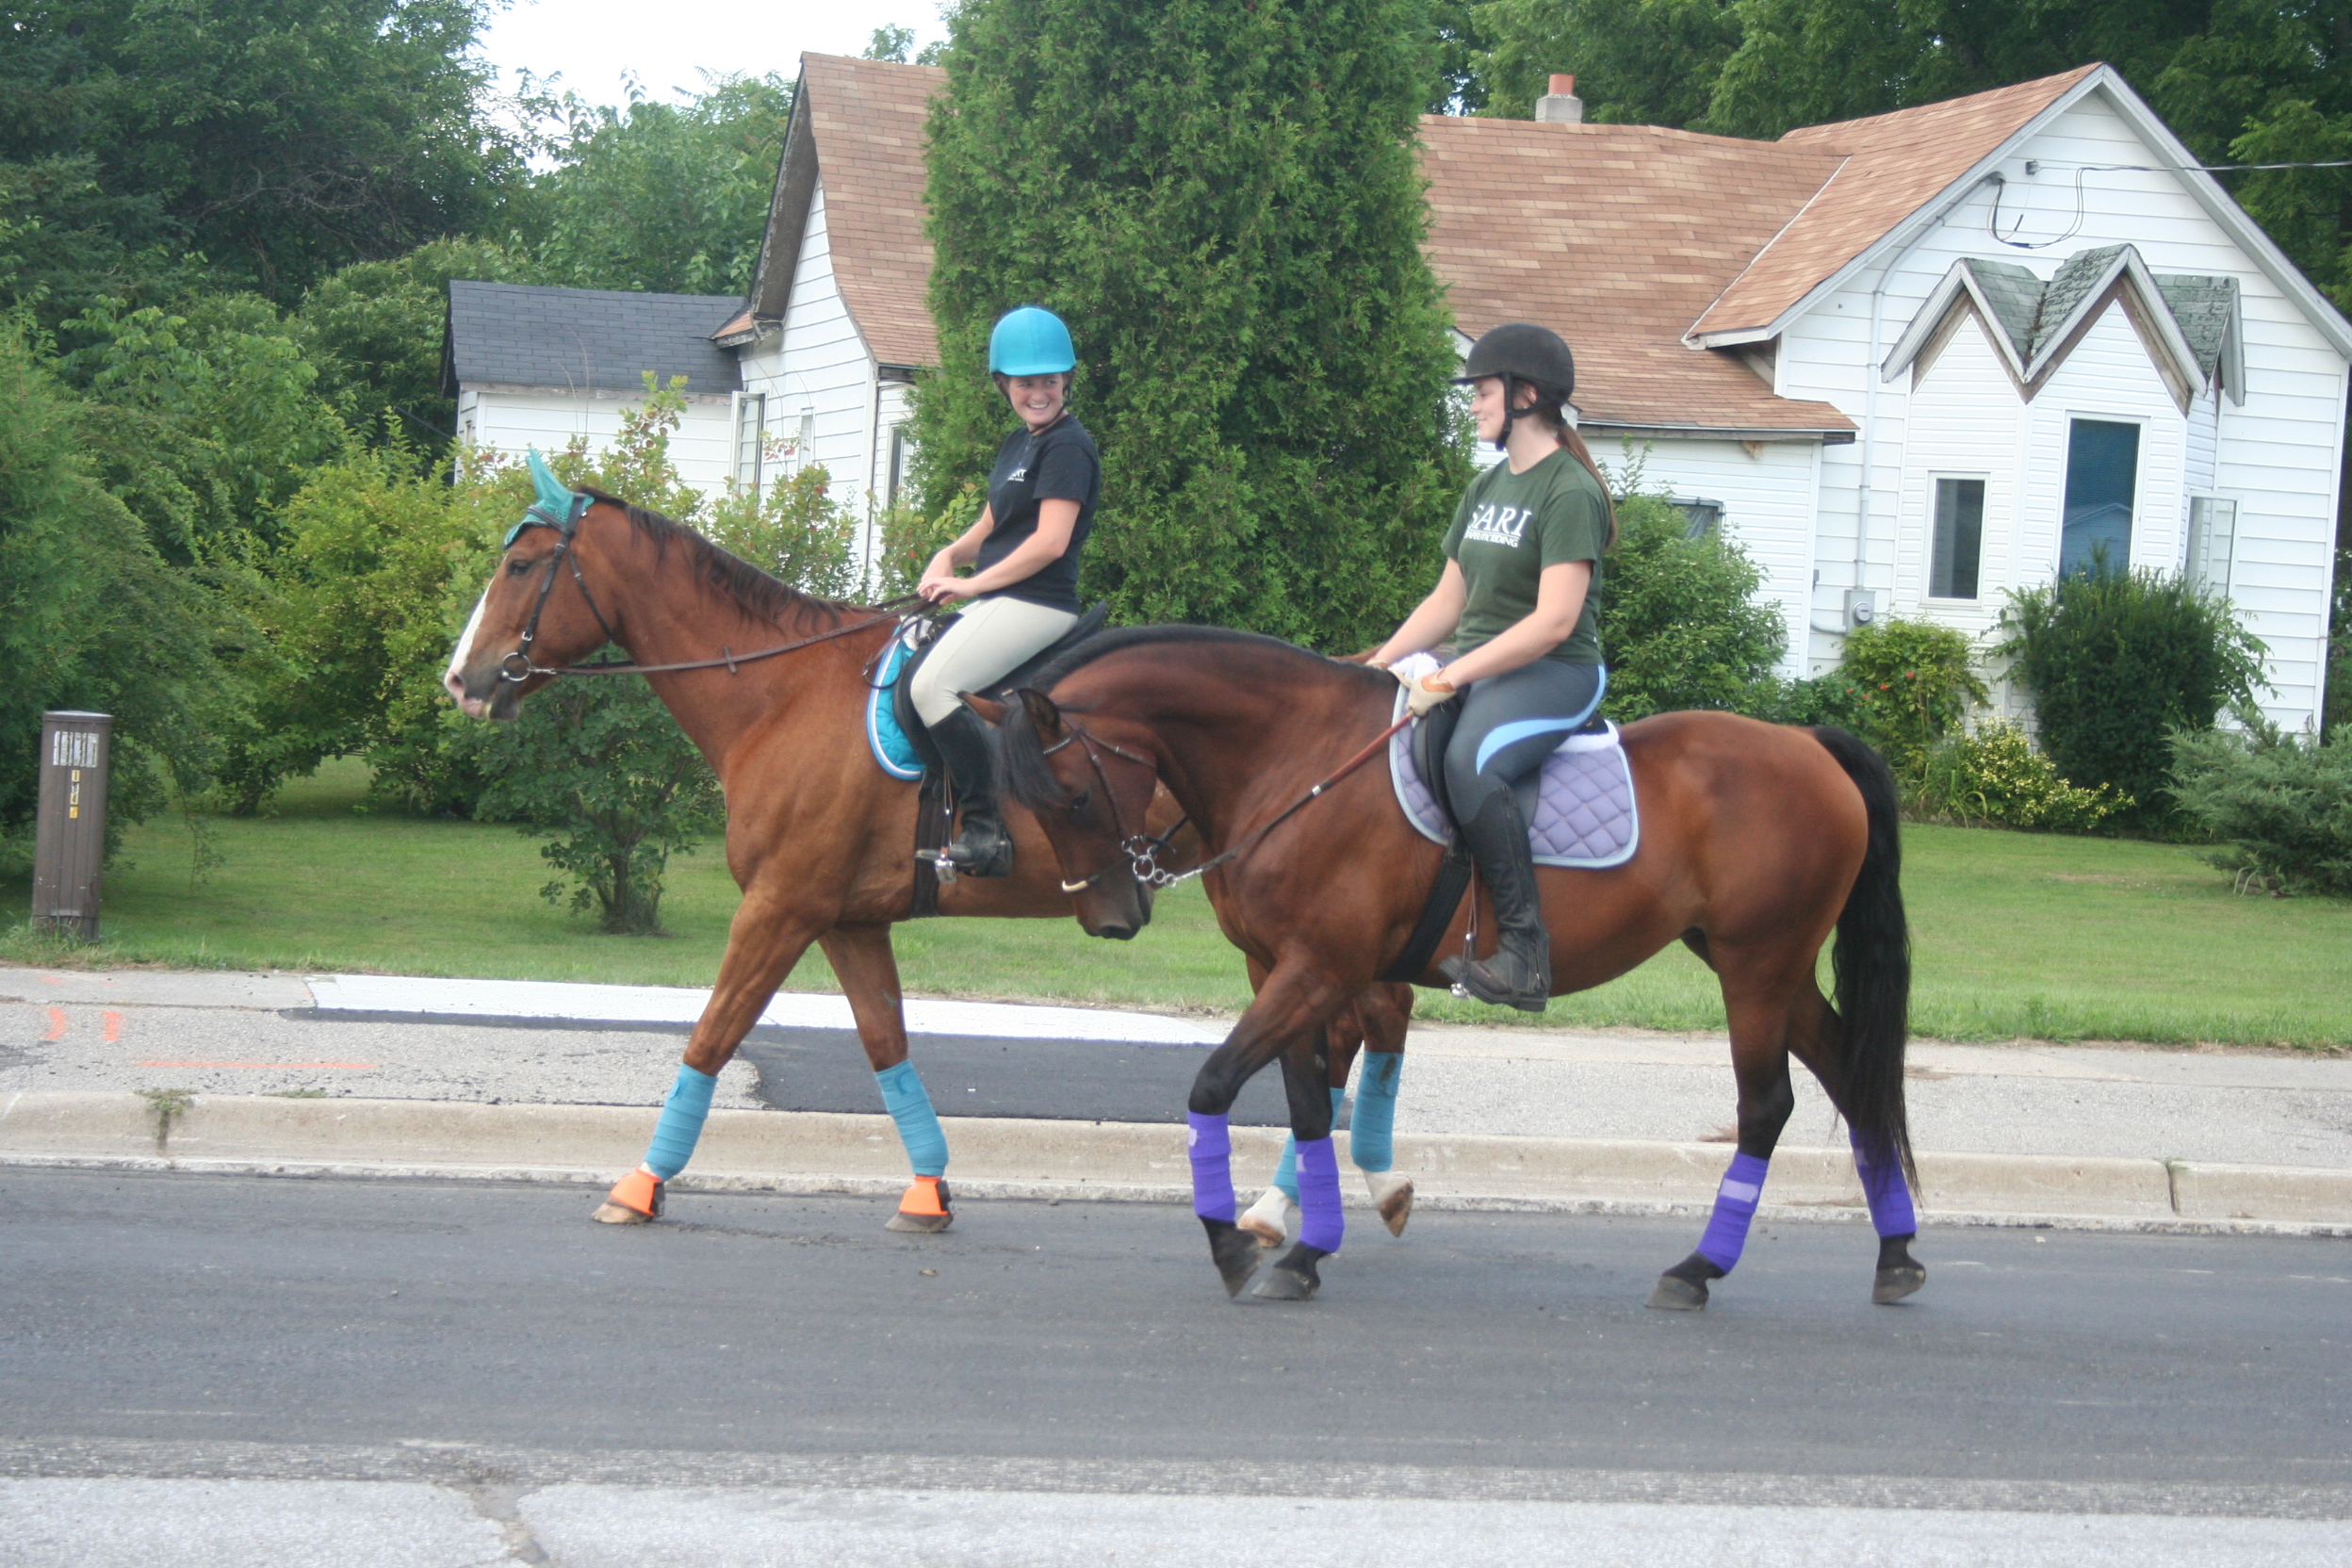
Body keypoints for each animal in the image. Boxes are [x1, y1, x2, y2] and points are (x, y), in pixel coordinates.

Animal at [437, 472, 1411, 1232]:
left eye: (520, 567)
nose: (461, 681)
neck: (781, 692)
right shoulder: (845, 919)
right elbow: (885, 1046)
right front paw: (929, 1191)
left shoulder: (779, 907)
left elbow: (711, 1038)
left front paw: (639, 1187)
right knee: (1360, 1026)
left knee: (1351, 1031)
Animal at [983, 625, 1919, 1316]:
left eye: (1071, 797)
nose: (1110, 917)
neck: (1297, 762)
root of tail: (1807, 743)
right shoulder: (1277, 969)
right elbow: (1308, 1104)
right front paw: (1306, 1248)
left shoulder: (1319, 969)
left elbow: (1217, 1084)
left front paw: (1233, 1245)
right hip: (1768, 965)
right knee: (1850, 1078)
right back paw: (1896, 1254)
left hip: (1756, 965)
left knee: (1767, 1106)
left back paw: (1698, 1269)